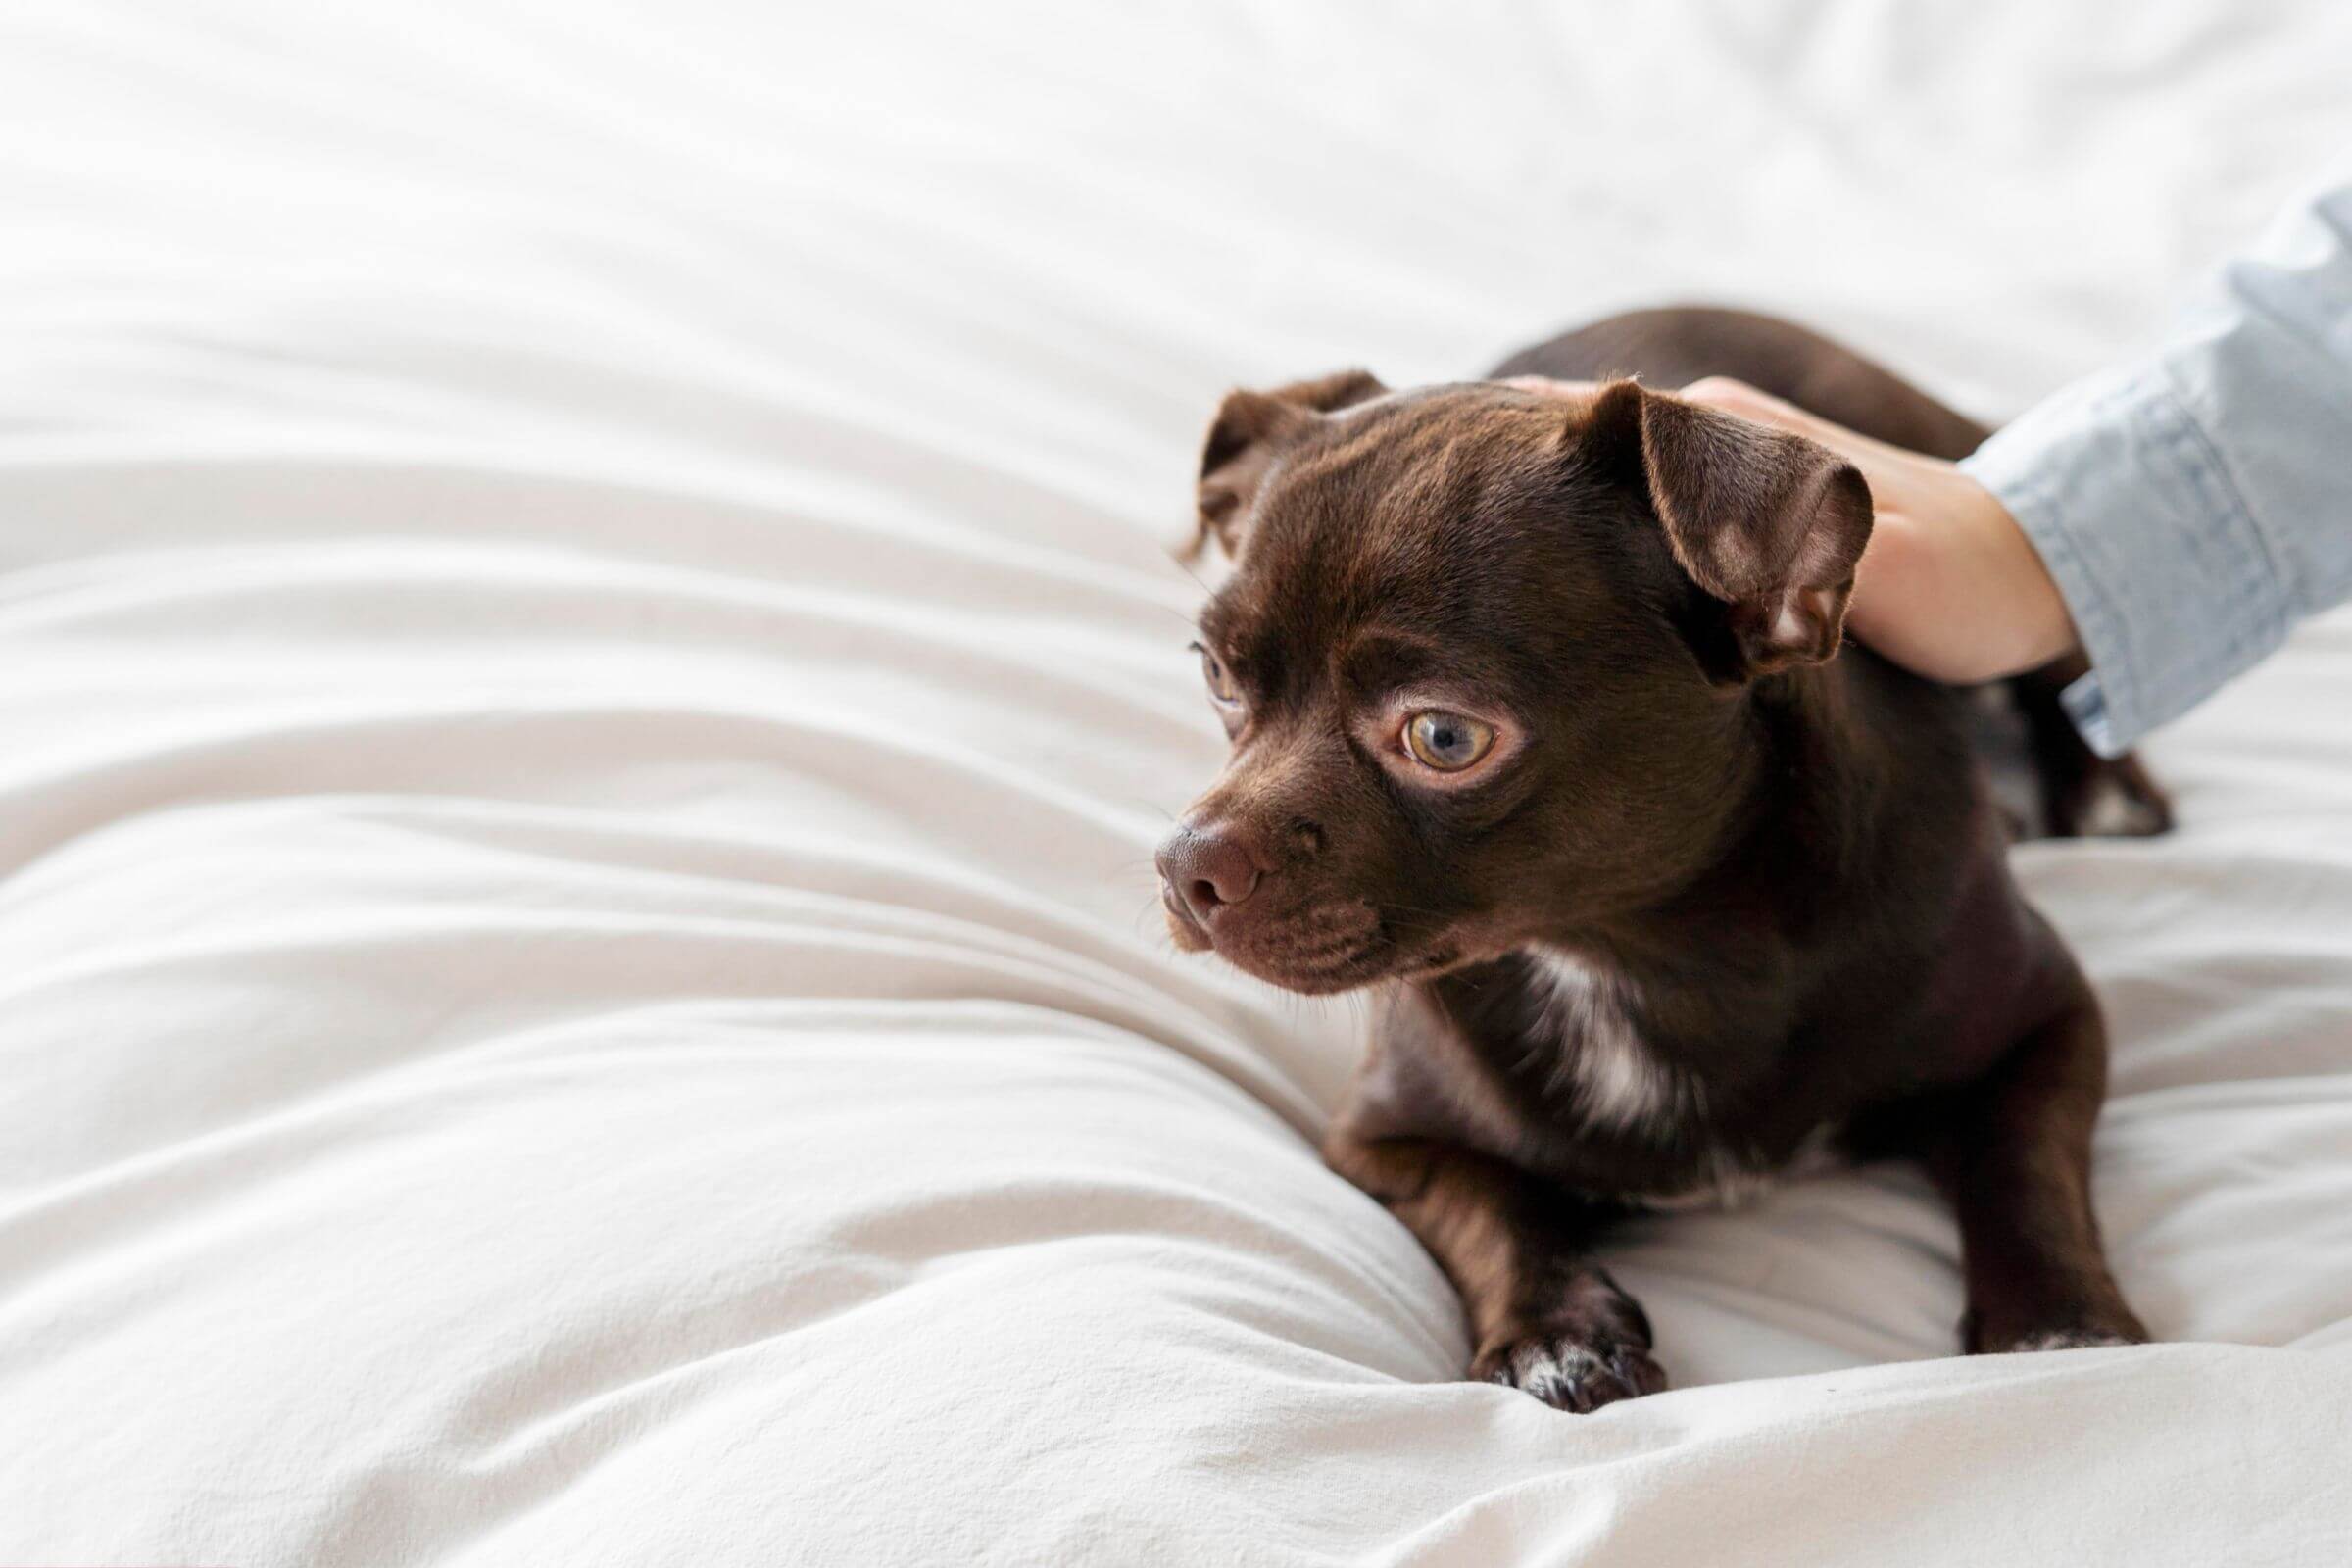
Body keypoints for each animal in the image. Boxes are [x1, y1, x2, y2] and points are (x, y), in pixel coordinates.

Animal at [1156, 313, 2164, 1419]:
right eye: (1217, 678)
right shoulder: (1386, 1137)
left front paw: (2055, 1324)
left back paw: (2105, 792)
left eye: (1444, 738)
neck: (1629, 951)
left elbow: (2023, 1168)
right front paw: (1556, 1332)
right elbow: (1491, 1207)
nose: (1186, 862)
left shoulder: (2045, 1022)